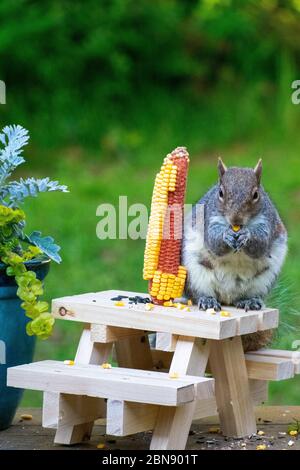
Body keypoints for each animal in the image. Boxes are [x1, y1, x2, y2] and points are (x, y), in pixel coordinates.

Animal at [182, 160, 288, 350]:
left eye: (256, 195)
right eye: (220, 193)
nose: (235, 220)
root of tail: (227, 297)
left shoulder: (266, 222)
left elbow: (261, 245)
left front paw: (247, 236)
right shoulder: (209, 219)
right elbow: (214, 242)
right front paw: (226, 236)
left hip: (264, 279)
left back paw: (249, 301)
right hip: (194, 273)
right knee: (199, 293)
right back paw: (208, 300)